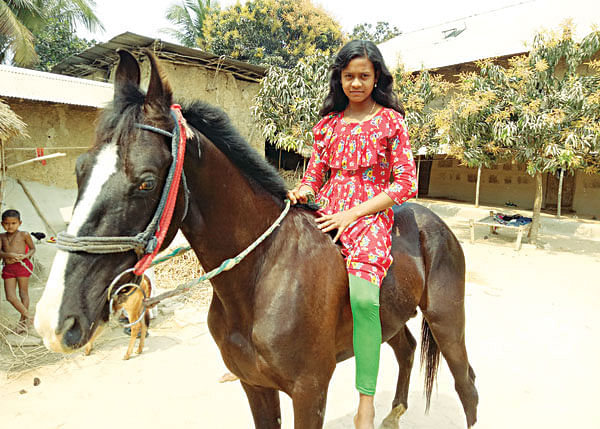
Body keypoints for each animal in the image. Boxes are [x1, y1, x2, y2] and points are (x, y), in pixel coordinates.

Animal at [36, 49, 478, 424]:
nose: (54, 320)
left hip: (447, 322)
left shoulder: (310, 393)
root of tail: (434, 224)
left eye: (145, 182)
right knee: (406, 349)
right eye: (79, 169)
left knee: (466, 384)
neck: (262, 276)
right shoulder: (254, 386)